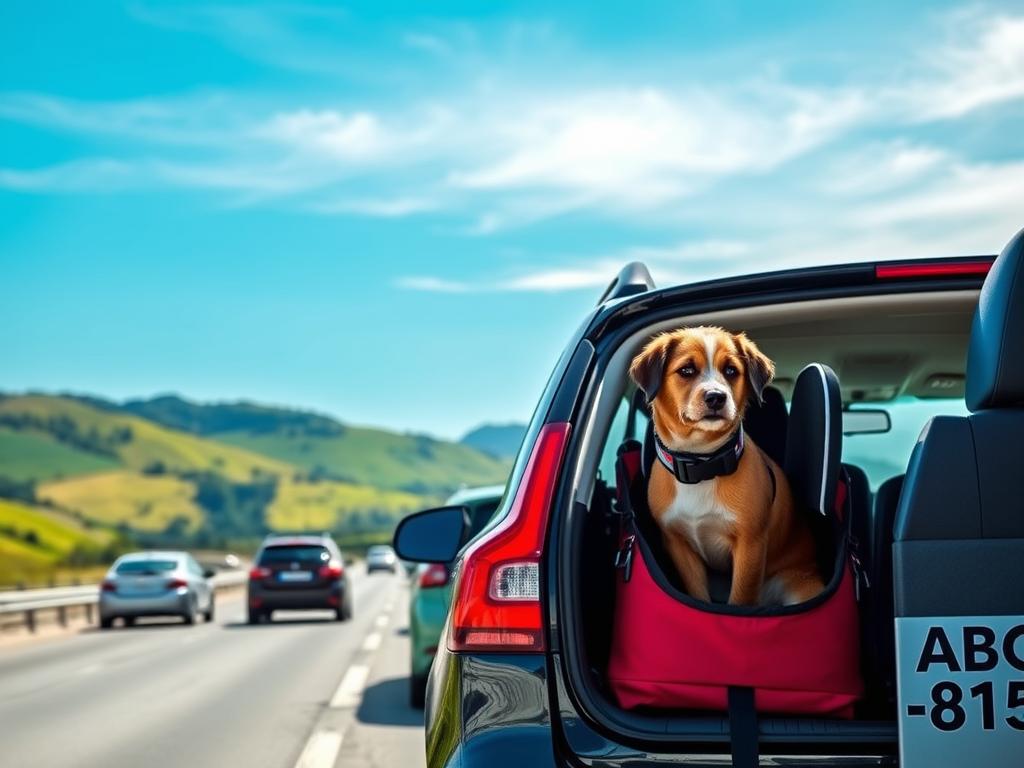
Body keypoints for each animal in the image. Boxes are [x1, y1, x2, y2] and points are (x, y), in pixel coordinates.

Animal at [626, 325, 827, 606]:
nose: (716, 397)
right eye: (686, 370)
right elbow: (698, 594)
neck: (700, 466)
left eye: (731, 370)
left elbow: (741, 597)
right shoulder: (680, 547)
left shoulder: (750, 546)